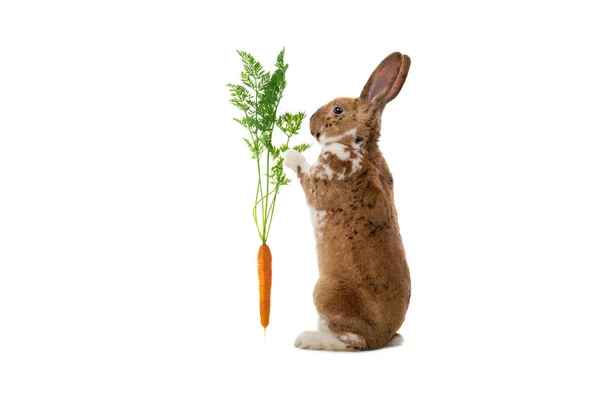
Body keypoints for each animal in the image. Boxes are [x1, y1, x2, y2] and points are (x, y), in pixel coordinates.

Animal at [282, 52, 412, 350]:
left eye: (338, 110)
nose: (311, 121)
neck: (358, 146)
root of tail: (379, 339)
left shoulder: (318, 182)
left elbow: (302, 168)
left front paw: (288, 154)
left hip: (324, 292)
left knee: (349, 341)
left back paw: (305, 339)